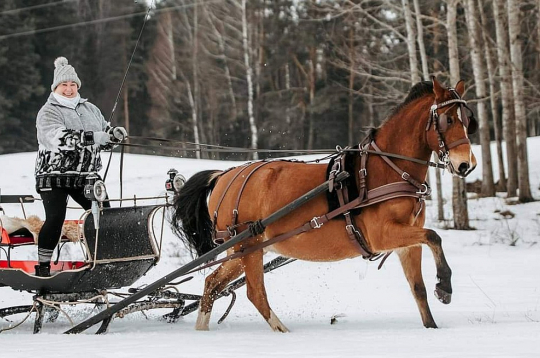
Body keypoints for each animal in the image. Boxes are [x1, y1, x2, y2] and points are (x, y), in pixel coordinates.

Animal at [169, 77, 476, 332]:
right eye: (448, 120)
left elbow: (418, 288)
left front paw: (432, 324)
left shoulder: (407, 242)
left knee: (212, 284)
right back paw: (282, 331)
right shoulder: (382, 235)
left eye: (467, 119)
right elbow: (434, 236)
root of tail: (223, 176)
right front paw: (445, 285)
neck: (386, 169)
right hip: (248, 245)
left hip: (243, 249)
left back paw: (202, 331)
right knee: (255, 292)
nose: (466, 165)